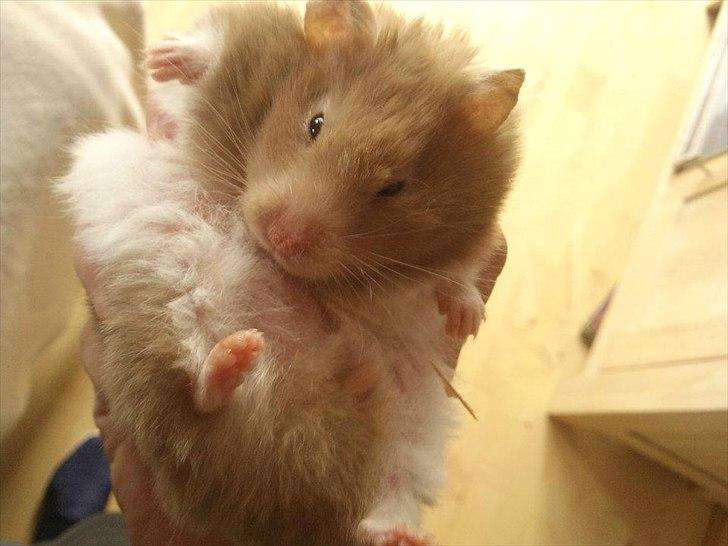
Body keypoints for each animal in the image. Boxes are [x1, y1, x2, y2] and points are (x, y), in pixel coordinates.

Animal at [60, 1, 523, 545]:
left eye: (394, 187)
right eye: (315, 123)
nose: (281, 239)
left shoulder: (460, 245)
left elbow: (456, 275)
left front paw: (465, 317)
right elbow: (210, 52)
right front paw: (164, 56)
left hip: (412, 435)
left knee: (387, 494)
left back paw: (397, 531)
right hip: (154, 330)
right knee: (193, 403)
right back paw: (234, 357)